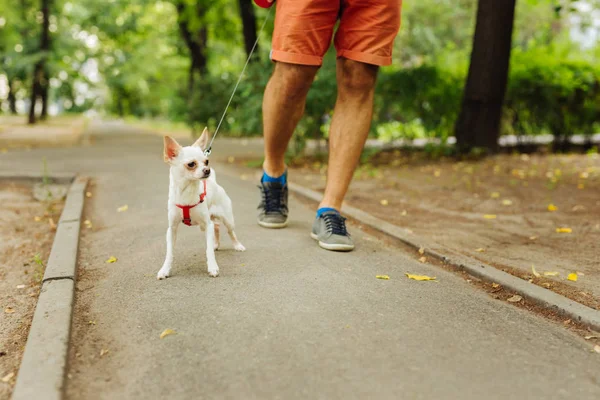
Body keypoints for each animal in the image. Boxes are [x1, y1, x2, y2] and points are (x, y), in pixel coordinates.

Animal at [158, 127, 247, 278]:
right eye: (191, 164)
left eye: (206, 161)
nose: (207, 170)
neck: (187, 192)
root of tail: (214, 183)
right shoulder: (172, 229)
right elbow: (169, 253)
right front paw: (165, 269)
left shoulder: (208, 224)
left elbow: (208, 250)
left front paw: (212, 267)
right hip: (207, 224)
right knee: (216, 227)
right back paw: (216, 244)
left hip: (227, 220)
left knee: (230, 232)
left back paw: (237, 245)